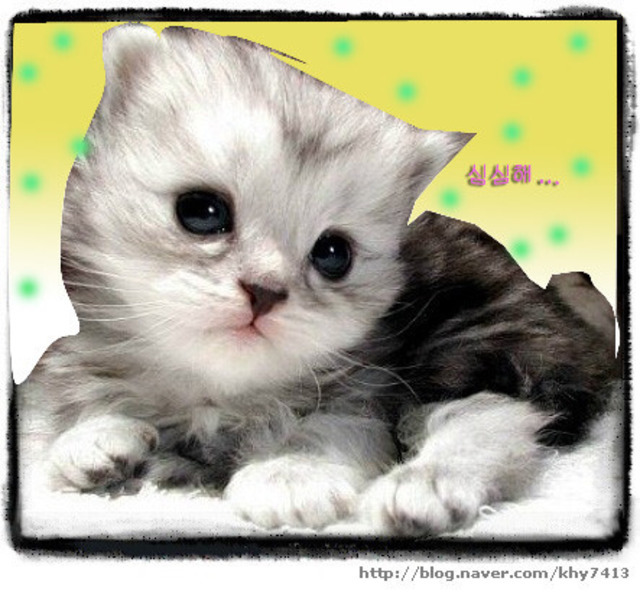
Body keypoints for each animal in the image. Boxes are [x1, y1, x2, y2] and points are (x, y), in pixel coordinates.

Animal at [18, 23, 615, 536]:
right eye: (201, 212)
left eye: (333, 254)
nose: (264, 294)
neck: (218, 392)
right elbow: (79, 396)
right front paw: (94, 434)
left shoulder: (372, 384)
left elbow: (333, 426)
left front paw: (291, 472)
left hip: (480, 342)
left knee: (496, 417)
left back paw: (424, 488)